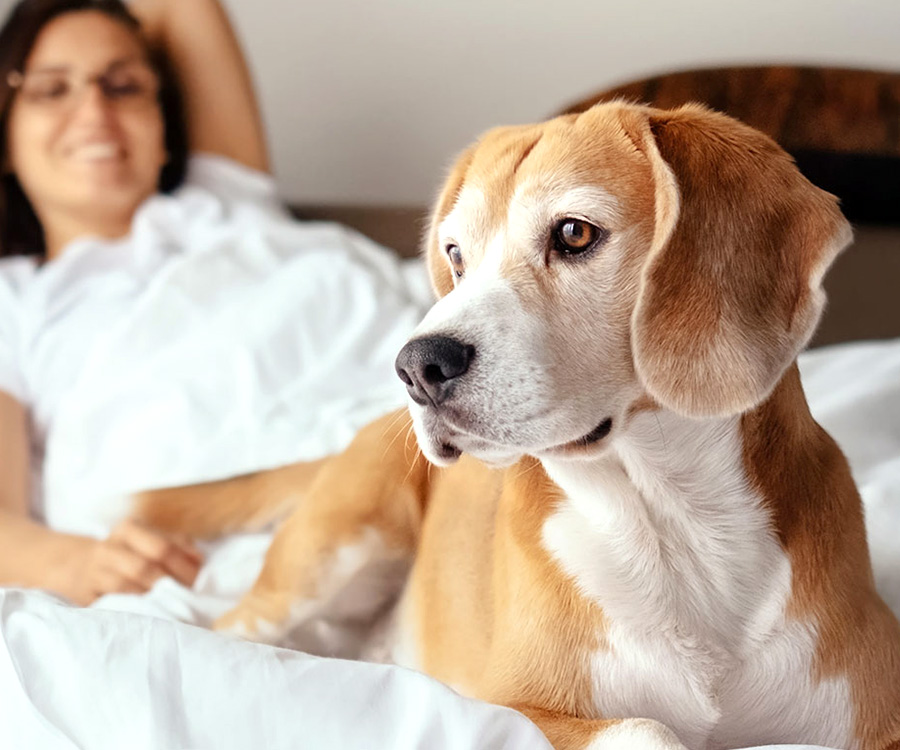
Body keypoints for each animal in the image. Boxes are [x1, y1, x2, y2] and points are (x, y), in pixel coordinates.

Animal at [135, 101, 900, 750]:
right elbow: (647, 729)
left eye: (574, 232)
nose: (416, 366)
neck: (675, 524)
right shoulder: (509, 705)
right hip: (331, 549)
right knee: (228, 629)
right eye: (455, 256)